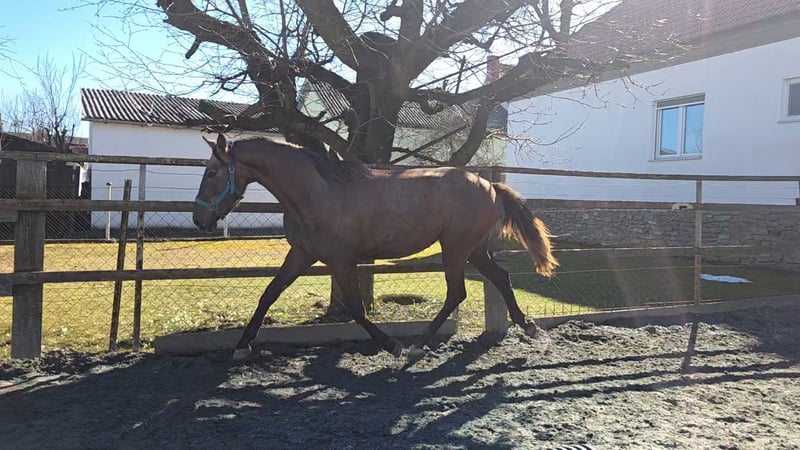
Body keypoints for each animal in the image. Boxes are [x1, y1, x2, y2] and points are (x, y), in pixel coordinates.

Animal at [192, 134, 558, 361]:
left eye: (211, 172)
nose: (199, 219)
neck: (317, 193)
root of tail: (490, 185)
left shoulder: (341, 260)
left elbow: (357, 309)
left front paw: (391, 344)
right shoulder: (302, 255)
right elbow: (269, 293)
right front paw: (242, 347)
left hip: (456, 248)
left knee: (457, 292)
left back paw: (417, 345)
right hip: (474, 249)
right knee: (501, 278)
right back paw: (530, 328)